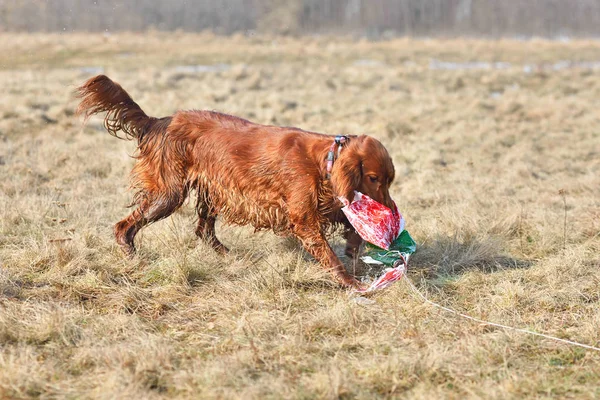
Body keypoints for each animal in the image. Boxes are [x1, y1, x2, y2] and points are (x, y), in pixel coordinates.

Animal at [76, 75, 394, 288]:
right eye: (373, 178)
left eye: (389, 181)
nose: (392, 211)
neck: (322, 160)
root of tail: (160, 121)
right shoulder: (303, 217)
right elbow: (329, 255)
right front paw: (351, 283)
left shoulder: (324, 204)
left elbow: (348, 224)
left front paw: (353, 247)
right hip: (168, 195)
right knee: (124, 227)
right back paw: (133, 257)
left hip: (211, 190)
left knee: (203, 231)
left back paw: (229, 256)